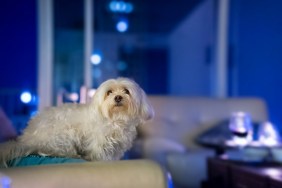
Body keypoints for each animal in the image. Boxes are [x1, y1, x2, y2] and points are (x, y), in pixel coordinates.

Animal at [0, 77, 154, 167]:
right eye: (109, 92)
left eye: (126, 91)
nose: (118, 97)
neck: (116, 119)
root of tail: (27, 139)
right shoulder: (99, 145)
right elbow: (100, 156)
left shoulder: (117, 148)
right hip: (64, 135)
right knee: (48, 152)